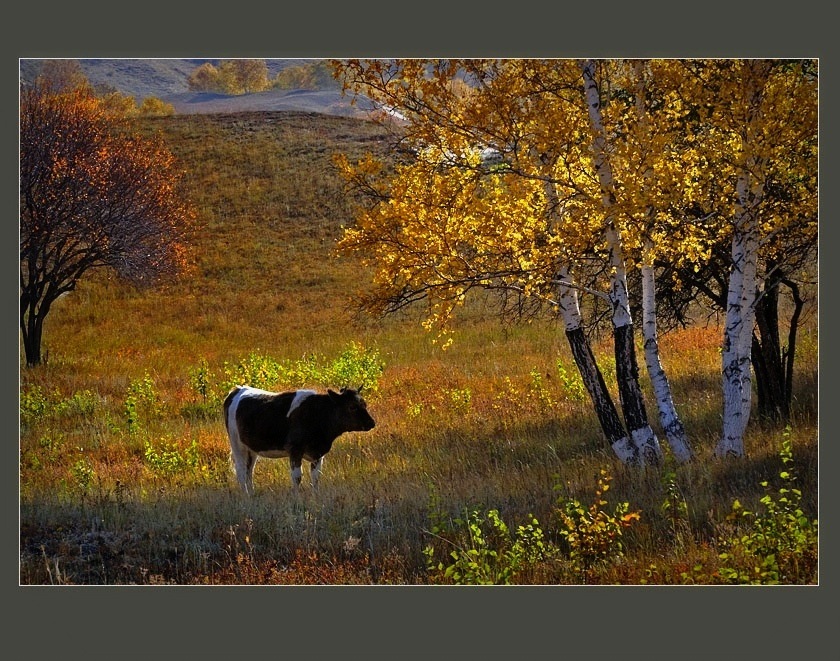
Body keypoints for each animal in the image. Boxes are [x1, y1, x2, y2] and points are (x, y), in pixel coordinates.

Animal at [223, 382, 374, 496]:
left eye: (364, 404)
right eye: (352, 407)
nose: (371, 423)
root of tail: (238, 389)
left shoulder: (318, 453)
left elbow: (316, 476)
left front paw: (315, 495)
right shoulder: (295, 450)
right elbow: (297, 476)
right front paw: (297, 497)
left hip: (251, 449)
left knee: (249, 471)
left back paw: (252, 494)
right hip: (237, 445)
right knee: (241, 472)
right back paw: (246, 496)